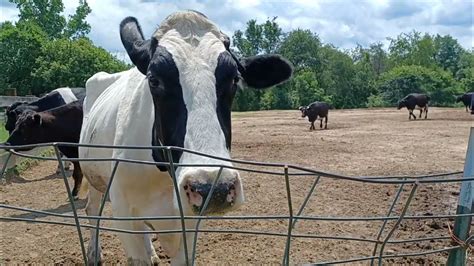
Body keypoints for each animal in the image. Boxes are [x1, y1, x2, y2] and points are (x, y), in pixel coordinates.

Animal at [78, 10, 292, 264]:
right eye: (154, 80)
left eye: (234, 79)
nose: (214, 188)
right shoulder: (125, 217)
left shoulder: (188, 224)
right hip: (94, 176)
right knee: (92, 210)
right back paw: (93, 253)